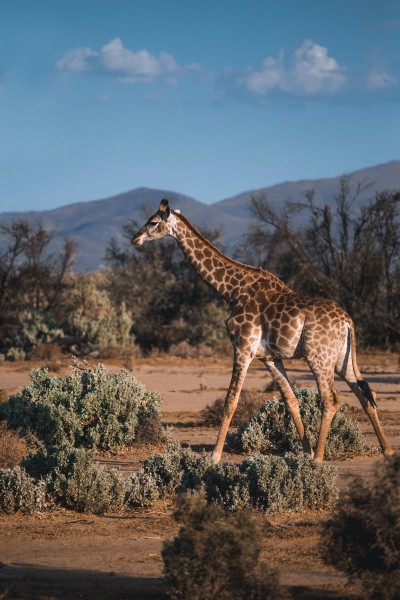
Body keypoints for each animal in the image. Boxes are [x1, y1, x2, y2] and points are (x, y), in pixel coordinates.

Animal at [133, 200, 396, 464]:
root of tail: (348, 322)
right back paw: (387, 450)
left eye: (153, 222)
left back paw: (320, 459)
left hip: (318, 357)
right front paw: (305, 451)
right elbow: (291, 402)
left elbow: (231, 401)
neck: (232, 291)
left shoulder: (242, 348)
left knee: (331, 399)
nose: (135, 239)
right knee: (366, 393)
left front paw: (215, 457)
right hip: (342, 359)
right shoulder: (270, 358)